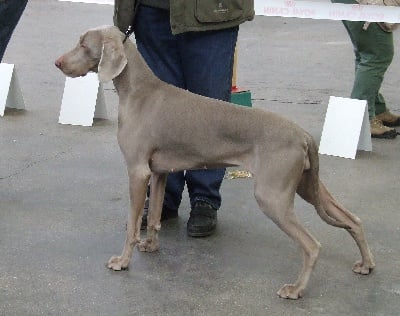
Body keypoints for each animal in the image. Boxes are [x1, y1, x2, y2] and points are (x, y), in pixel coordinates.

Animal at [55, 25, 376, 298]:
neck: (138, 91)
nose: (57, 63)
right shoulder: (158, 173)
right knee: (353, 220)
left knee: (312, 245)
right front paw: (151, 245)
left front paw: (123, 261)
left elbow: (132, 227)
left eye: (83, 44)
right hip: (307, 185)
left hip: (272, 195)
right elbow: (155, 216)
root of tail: (303, 134)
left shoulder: (137, 172)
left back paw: (295, 289)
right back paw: (366, 264)